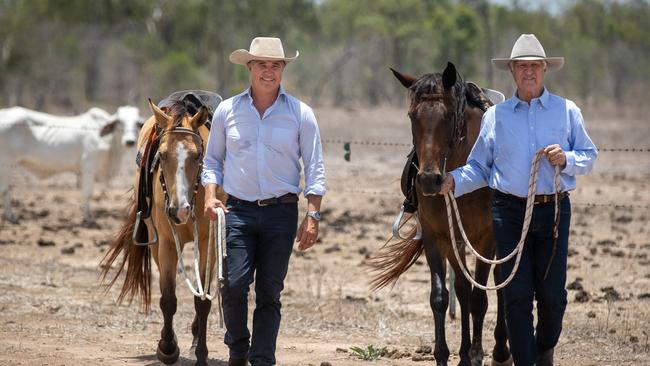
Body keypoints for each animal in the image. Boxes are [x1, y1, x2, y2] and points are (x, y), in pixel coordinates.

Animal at [0, 106, 142, 223]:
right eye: (120, 122)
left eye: (137, 123)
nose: (129, 141)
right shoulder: (89, 167)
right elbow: (87, 193)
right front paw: (89, 219)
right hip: (6, 163)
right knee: (5, 189)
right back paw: (11, 217)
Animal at [99, 99, 225, 366]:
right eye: (162, 155)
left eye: (197, 155)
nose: (180, 210)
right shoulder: (166, 242)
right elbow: (168, 299)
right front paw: (167, 348)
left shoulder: (206, 242)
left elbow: (202, 300)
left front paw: (201, 353)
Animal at [370, 61, 512, 364]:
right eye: (412, 115)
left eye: (447, 115)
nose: (428, 180)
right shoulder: (437, 237)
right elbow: (441, 297)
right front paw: (446, 355)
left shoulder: (486, 239)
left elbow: (480, 299)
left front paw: (478, 354)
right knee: (462, 288)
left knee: (499, 283)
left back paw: (500, 351)